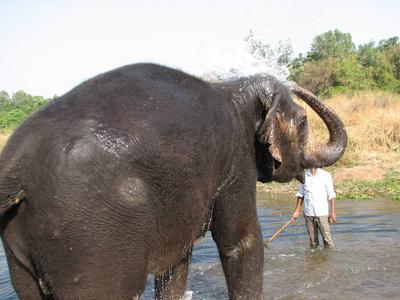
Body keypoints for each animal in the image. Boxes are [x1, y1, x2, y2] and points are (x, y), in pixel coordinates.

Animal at [0, 62, 346, 298]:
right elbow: (240, 242)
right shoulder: (235, 160)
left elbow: (177, 262)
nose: (294, 82)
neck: (232, 88)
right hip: (89, 233)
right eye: (303, 122)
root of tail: (15, 166)